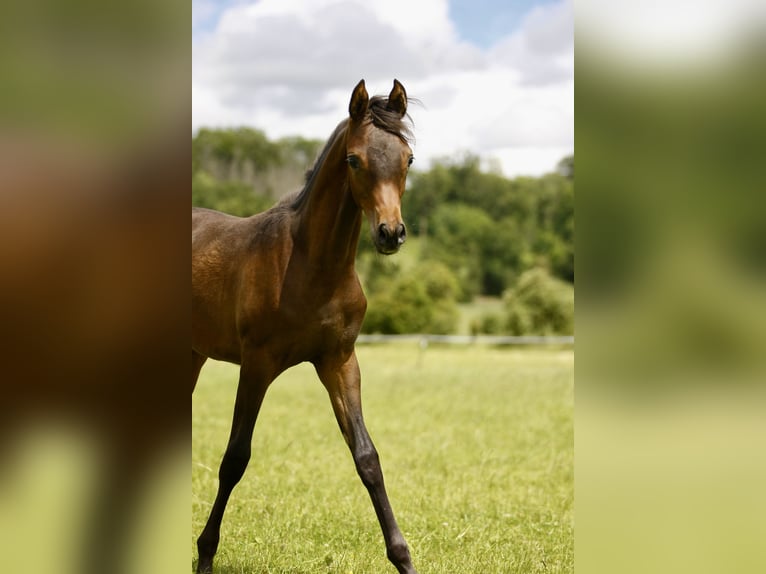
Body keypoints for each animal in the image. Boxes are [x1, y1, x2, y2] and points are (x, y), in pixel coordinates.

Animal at [192, 81, 420, 574]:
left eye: (408, 158)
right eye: (354, 160)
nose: (390, 234)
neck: (313, 266)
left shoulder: (339, 362)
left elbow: (367, 457)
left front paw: (404, 558)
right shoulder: (256, 365)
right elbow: (235, 458)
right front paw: (204, 554)